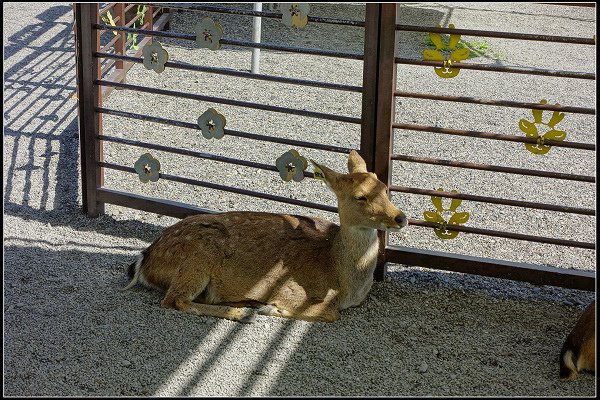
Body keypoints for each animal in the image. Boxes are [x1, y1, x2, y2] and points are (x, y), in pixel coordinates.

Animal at [122, 150, 408, 322]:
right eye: (360, 196)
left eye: (384, 187)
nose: (400, 217)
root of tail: (144, 259)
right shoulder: (288, 286)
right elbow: (330, 311)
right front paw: (271, 307)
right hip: (198, 256)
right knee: (175, 299)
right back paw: (242, 312)